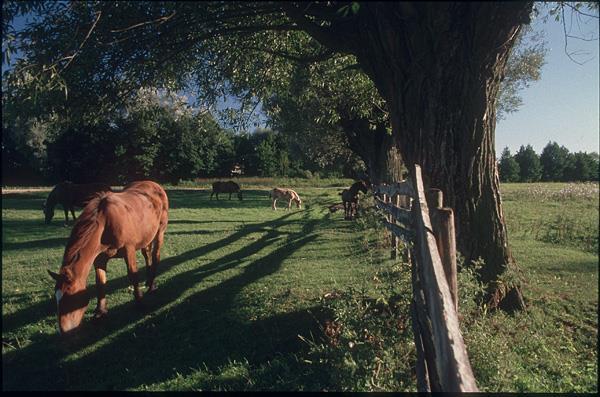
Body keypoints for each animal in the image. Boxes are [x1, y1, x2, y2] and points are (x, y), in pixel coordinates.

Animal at [46, 181, 169, 332]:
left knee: (156, 256)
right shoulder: (99, 258)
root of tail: (154, 184)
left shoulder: (129, 250)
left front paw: (139, 303)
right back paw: (148, 281)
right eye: (56, 298)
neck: (105, 224)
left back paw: (151, 285)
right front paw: (100, 311)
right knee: (147, 255)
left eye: (70, 296)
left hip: (160, 232)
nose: (64, 331)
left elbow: (133, 275)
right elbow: (100, 282)